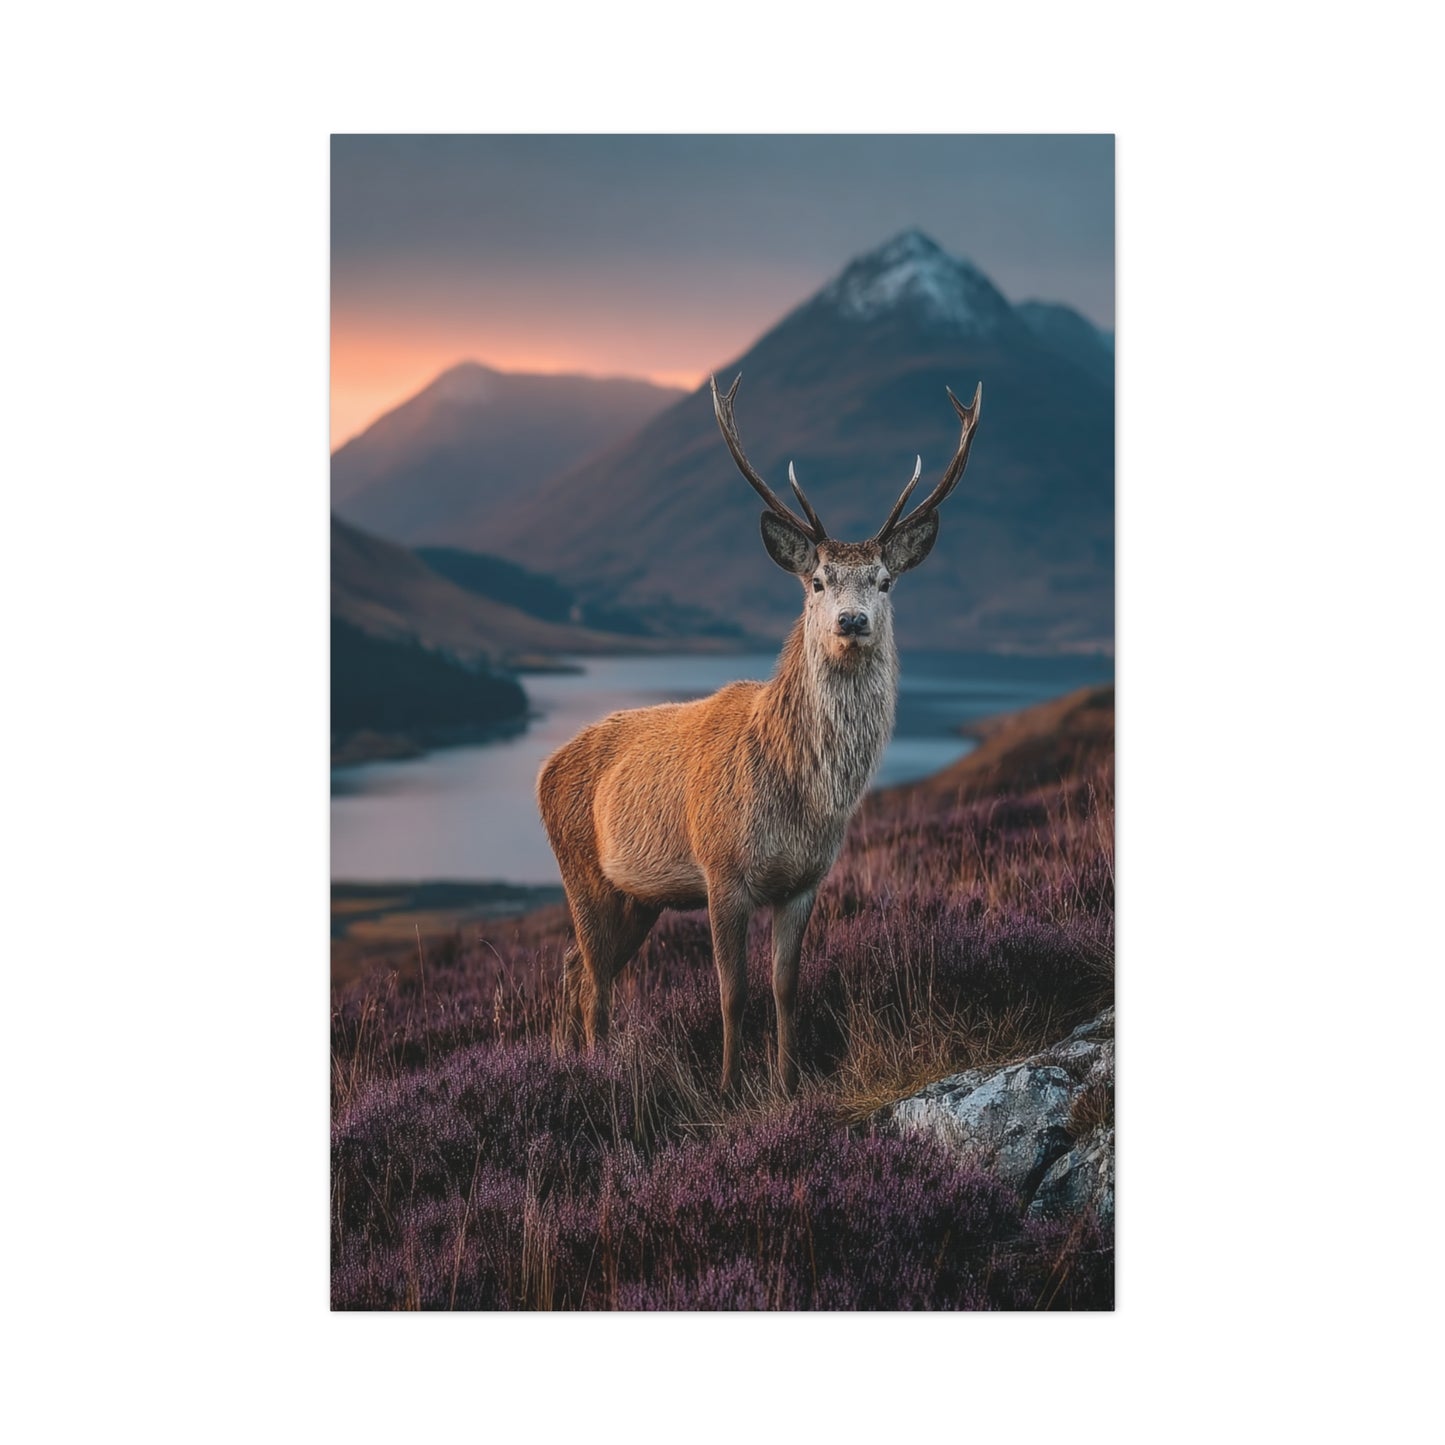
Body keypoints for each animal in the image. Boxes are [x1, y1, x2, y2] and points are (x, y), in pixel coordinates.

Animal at [536, 374, 982, 1095]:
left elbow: (784, 987)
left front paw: (785, 1082)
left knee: (576, 966)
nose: (852, 620)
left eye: (884, 581)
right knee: (595, 977)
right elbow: (731, 991)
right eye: (818, 581)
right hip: (582, 871)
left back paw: (569, 1059)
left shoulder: (804, 882)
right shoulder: (721, 872)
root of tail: (544, 767)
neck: (797, 800)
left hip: (638, 896)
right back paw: (596, 1069)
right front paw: (725, 1085)